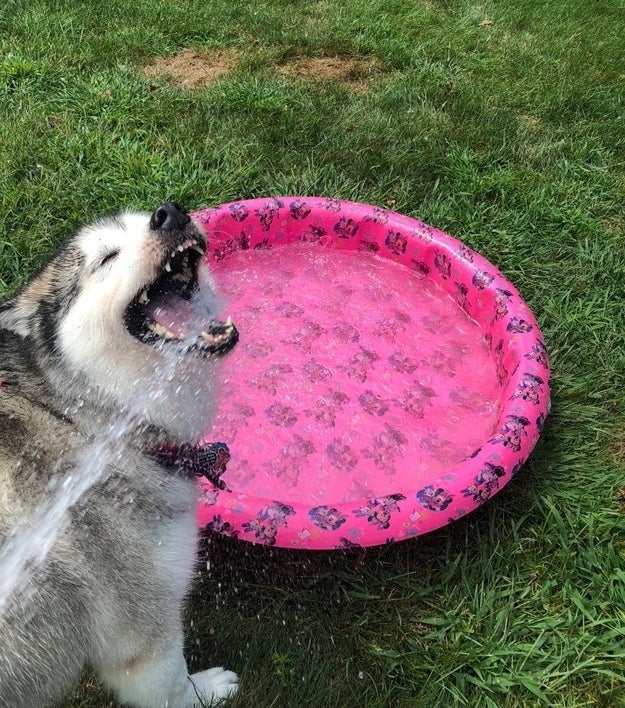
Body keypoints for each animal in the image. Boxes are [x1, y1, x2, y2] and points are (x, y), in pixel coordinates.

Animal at [0, 202, 239, 704]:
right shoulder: (144, 637)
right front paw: (207, 690)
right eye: (107, 257)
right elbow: (173, 686)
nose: (170, 213)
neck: (80, 420)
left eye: (146, 218)